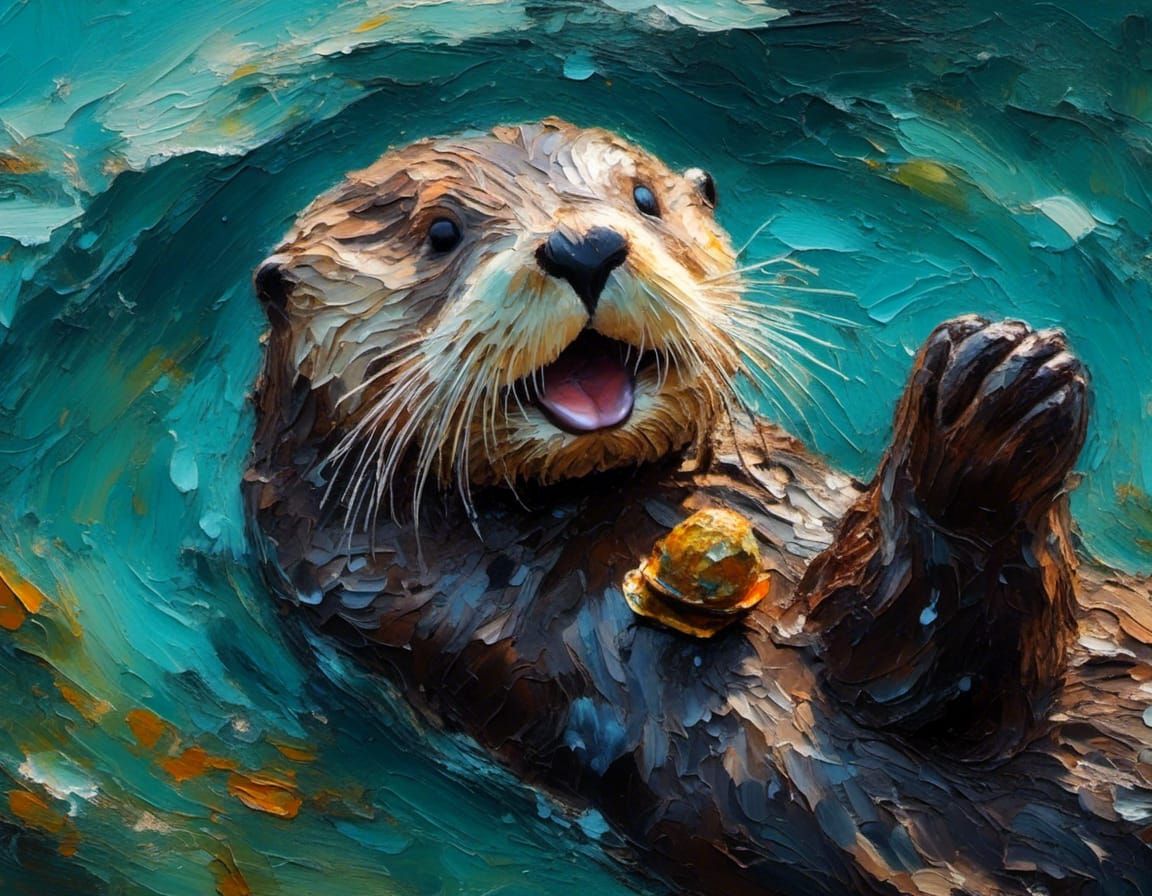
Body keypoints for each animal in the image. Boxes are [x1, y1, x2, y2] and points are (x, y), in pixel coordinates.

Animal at [245, 119, 1152, 895]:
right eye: (439, 233)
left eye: (644, 199)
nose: (584, 246)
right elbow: (926, 675)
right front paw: (989, 399)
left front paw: (1024, 365)